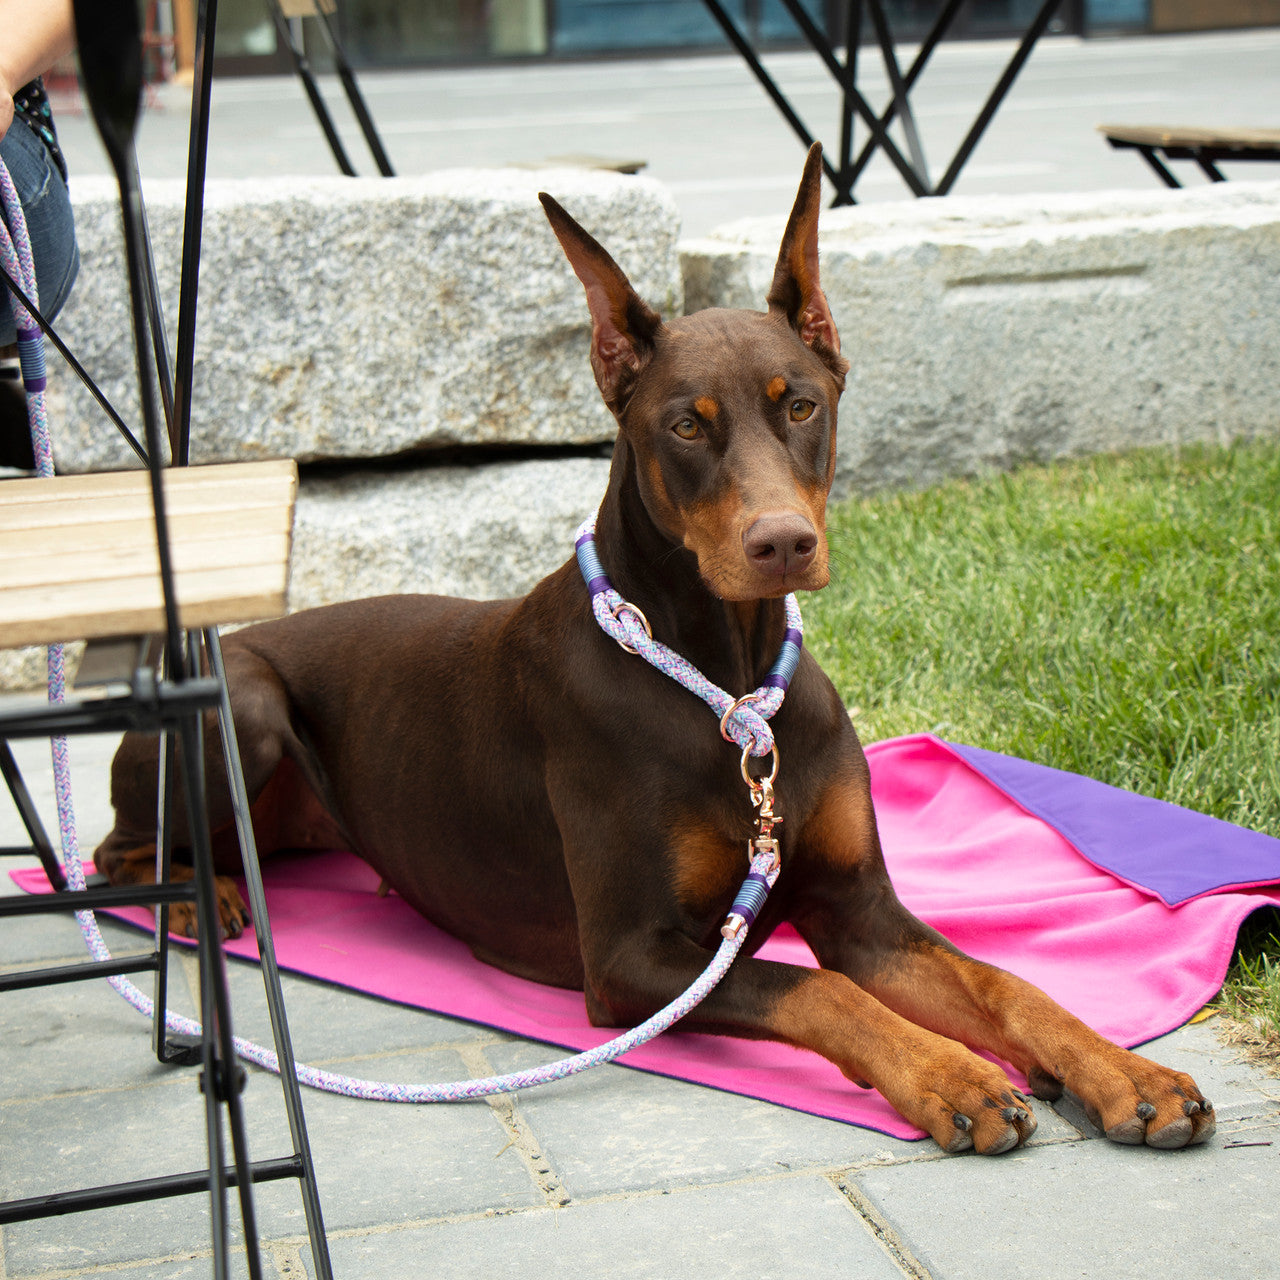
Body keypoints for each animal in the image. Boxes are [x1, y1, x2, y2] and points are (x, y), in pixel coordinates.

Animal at [94, 145, 1213, 1157]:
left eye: (800, 402)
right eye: (684, 424)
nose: (781, 544)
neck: (726, 679)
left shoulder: (860, 908)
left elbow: (1000, 980)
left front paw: (1122, 1070)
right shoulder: (632, 959)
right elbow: (822, 989)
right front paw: (952, 1075)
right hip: (243, 701)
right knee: (111, 853)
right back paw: (204, 893)